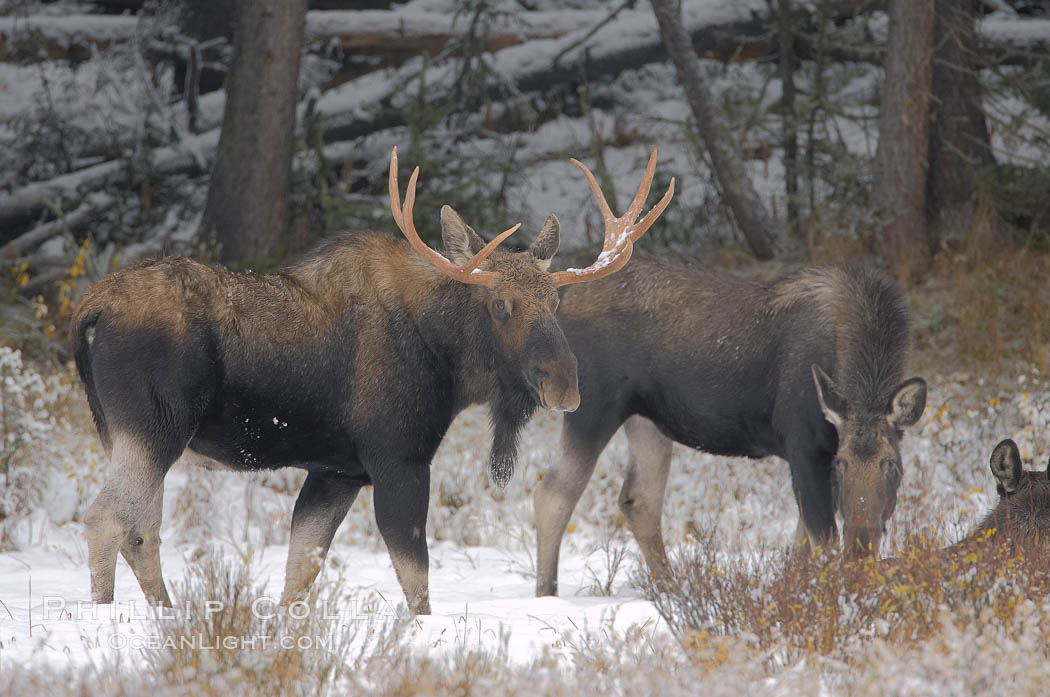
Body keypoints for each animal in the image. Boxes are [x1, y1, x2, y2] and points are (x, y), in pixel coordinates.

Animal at [77, 148, 676, 617]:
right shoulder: (399, 459)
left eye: (555, 300)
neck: (449, 362)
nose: (565, 385)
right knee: (107, 520)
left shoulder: (336, 472)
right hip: (153, 429)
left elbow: (300, 574)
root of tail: (89, 311)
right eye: (501, 304)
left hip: (128, 435)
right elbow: (417, 582)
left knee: (140, 528)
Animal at [533, 258, 928, 596]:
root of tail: (563, 302)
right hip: (592, 406)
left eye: (892, 466)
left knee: (638, 499)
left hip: (645, 421)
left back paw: (671, 591)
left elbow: (802, 545)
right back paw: (546, 593)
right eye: (841, 464)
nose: (862, 547)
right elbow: (822, 541)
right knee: (554, 492)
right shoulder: (803, 446)